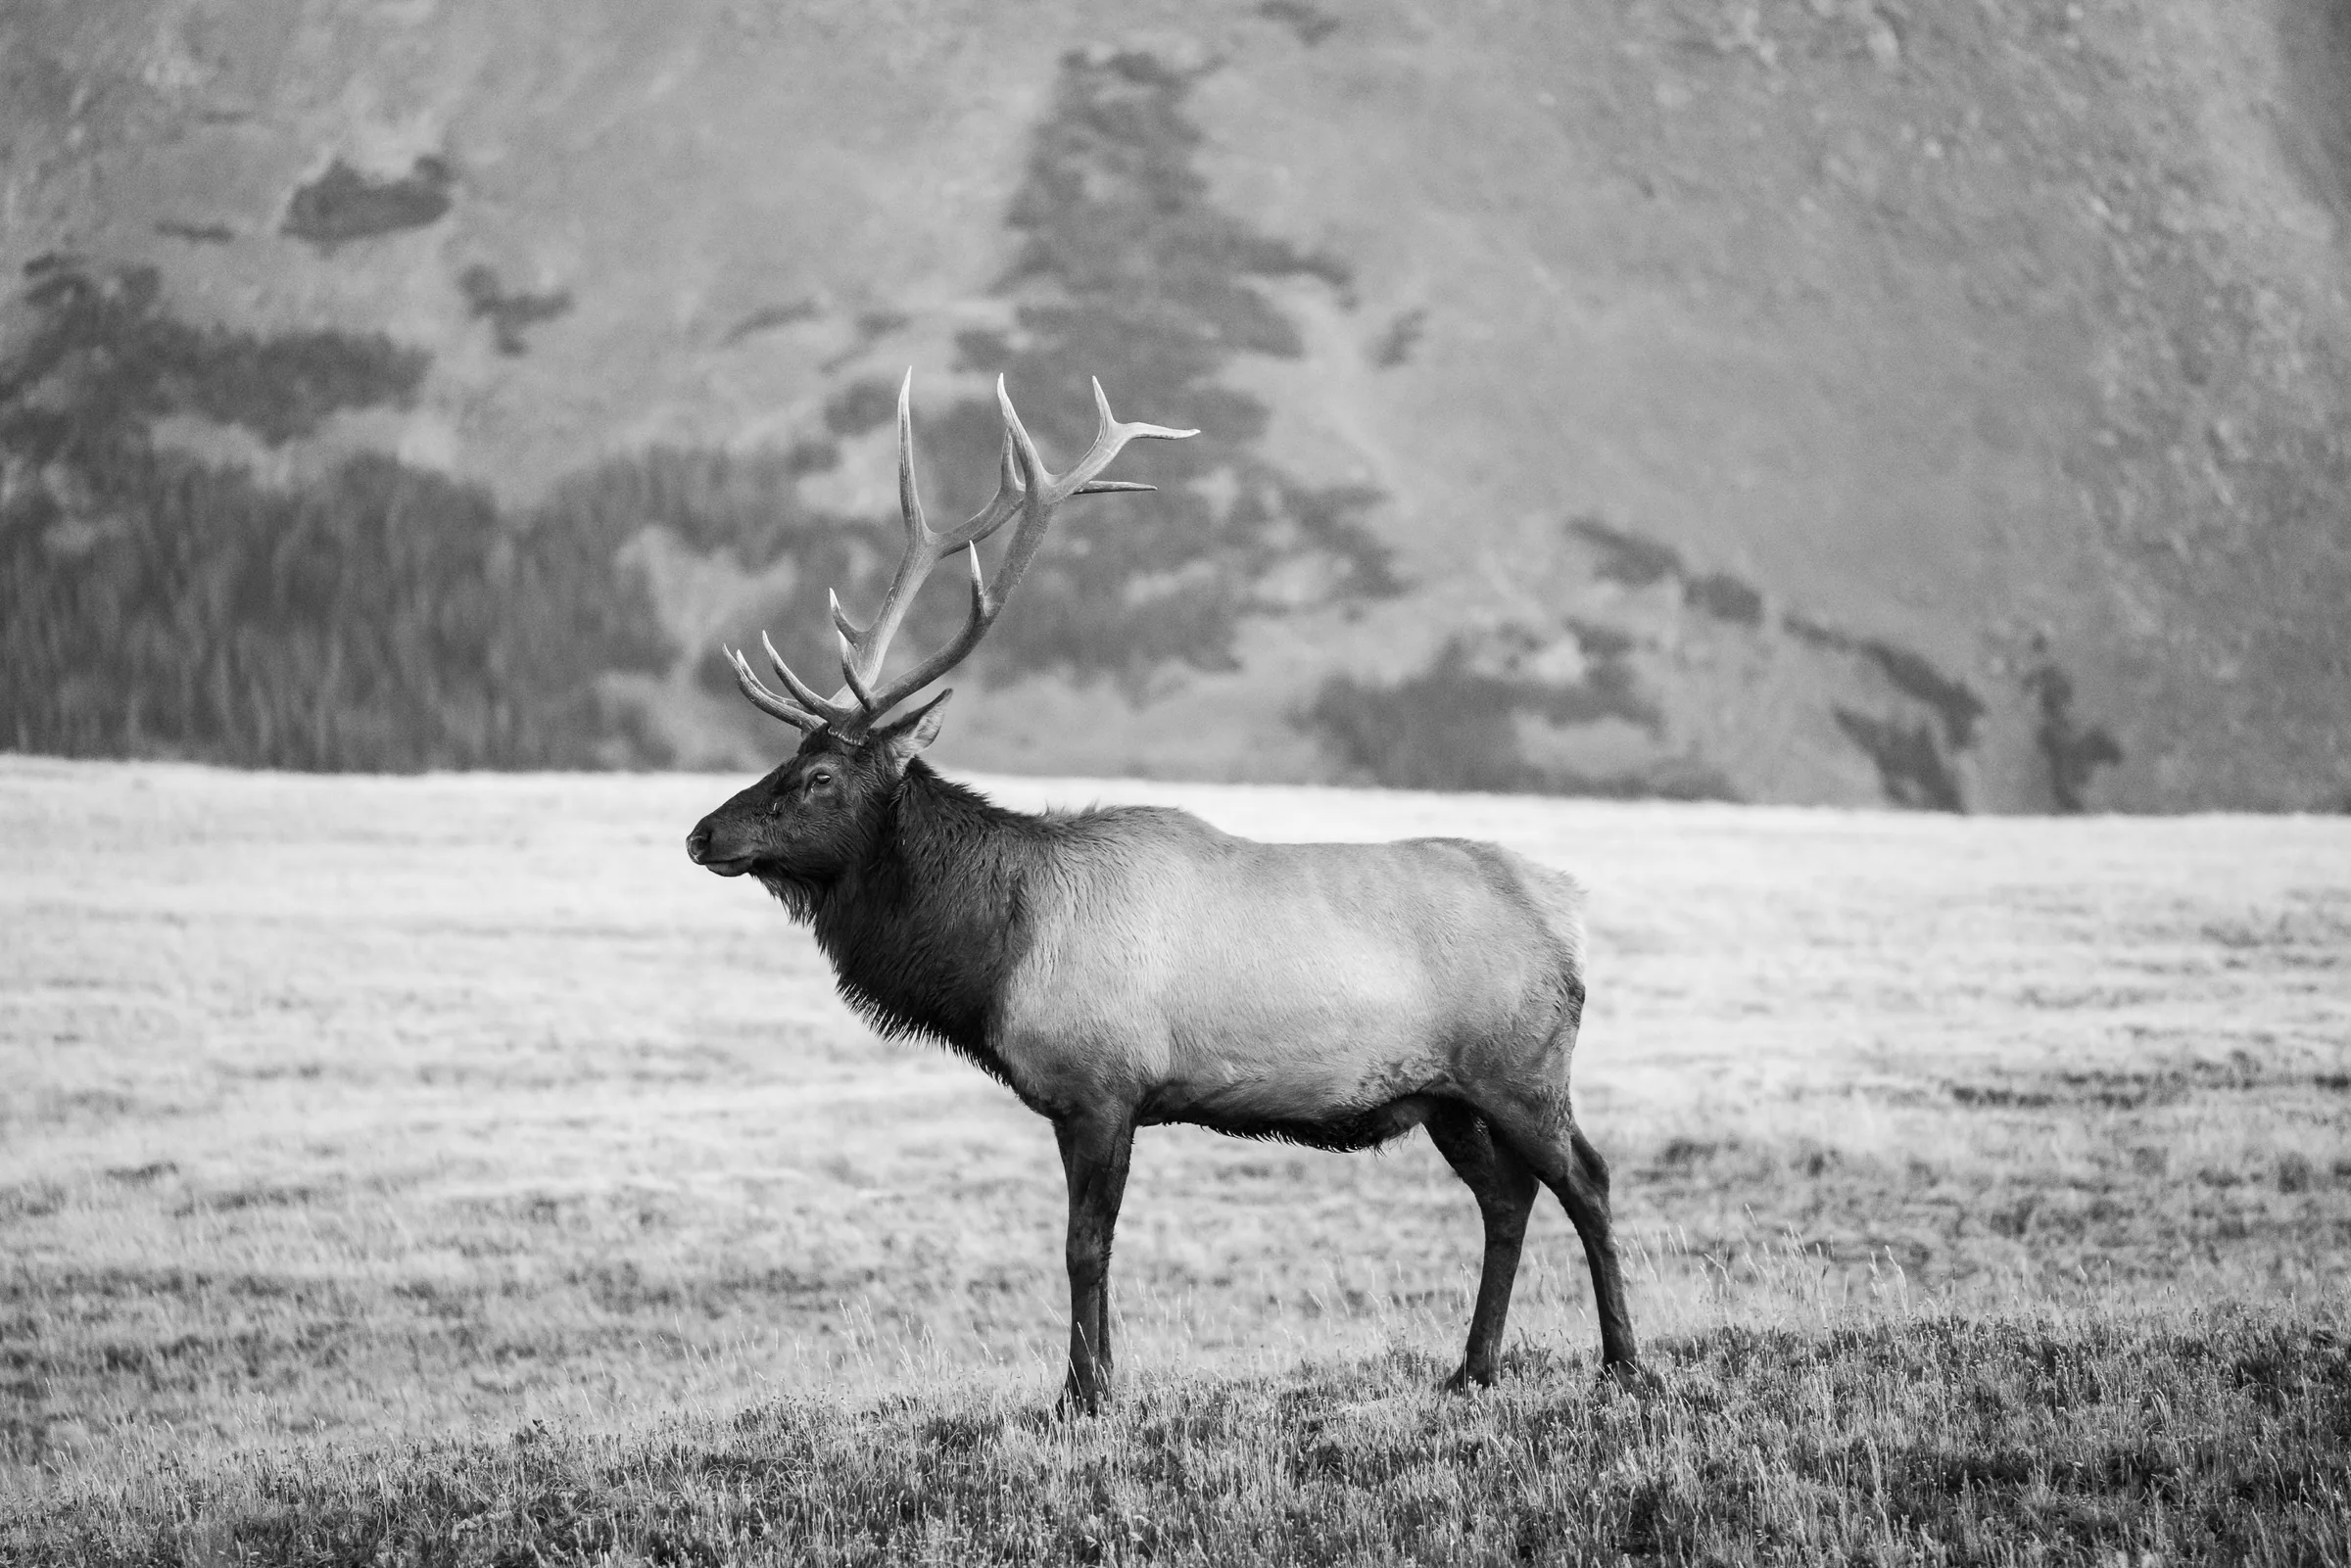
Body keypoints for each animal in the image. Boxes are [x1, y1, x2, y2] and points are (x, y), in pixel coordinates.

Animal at [686, 372, 1643, 1412]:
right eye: (784, 760)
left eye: (820, 777)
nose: (703, 833)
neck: (997, 952)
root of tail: (1569, 912)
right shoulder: (1095, 1100)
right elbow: (1093, 1250)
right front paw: (1097, 1383)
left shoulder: (1101, 1085)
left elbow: (1084, 1247)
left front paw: (1082, 1395)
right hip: (1446, 1095)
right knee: (1506, 1198)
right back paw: (1471, 1368)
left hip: (1520, 1068)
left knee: (1588, 1180)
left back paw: (1624, 1360)